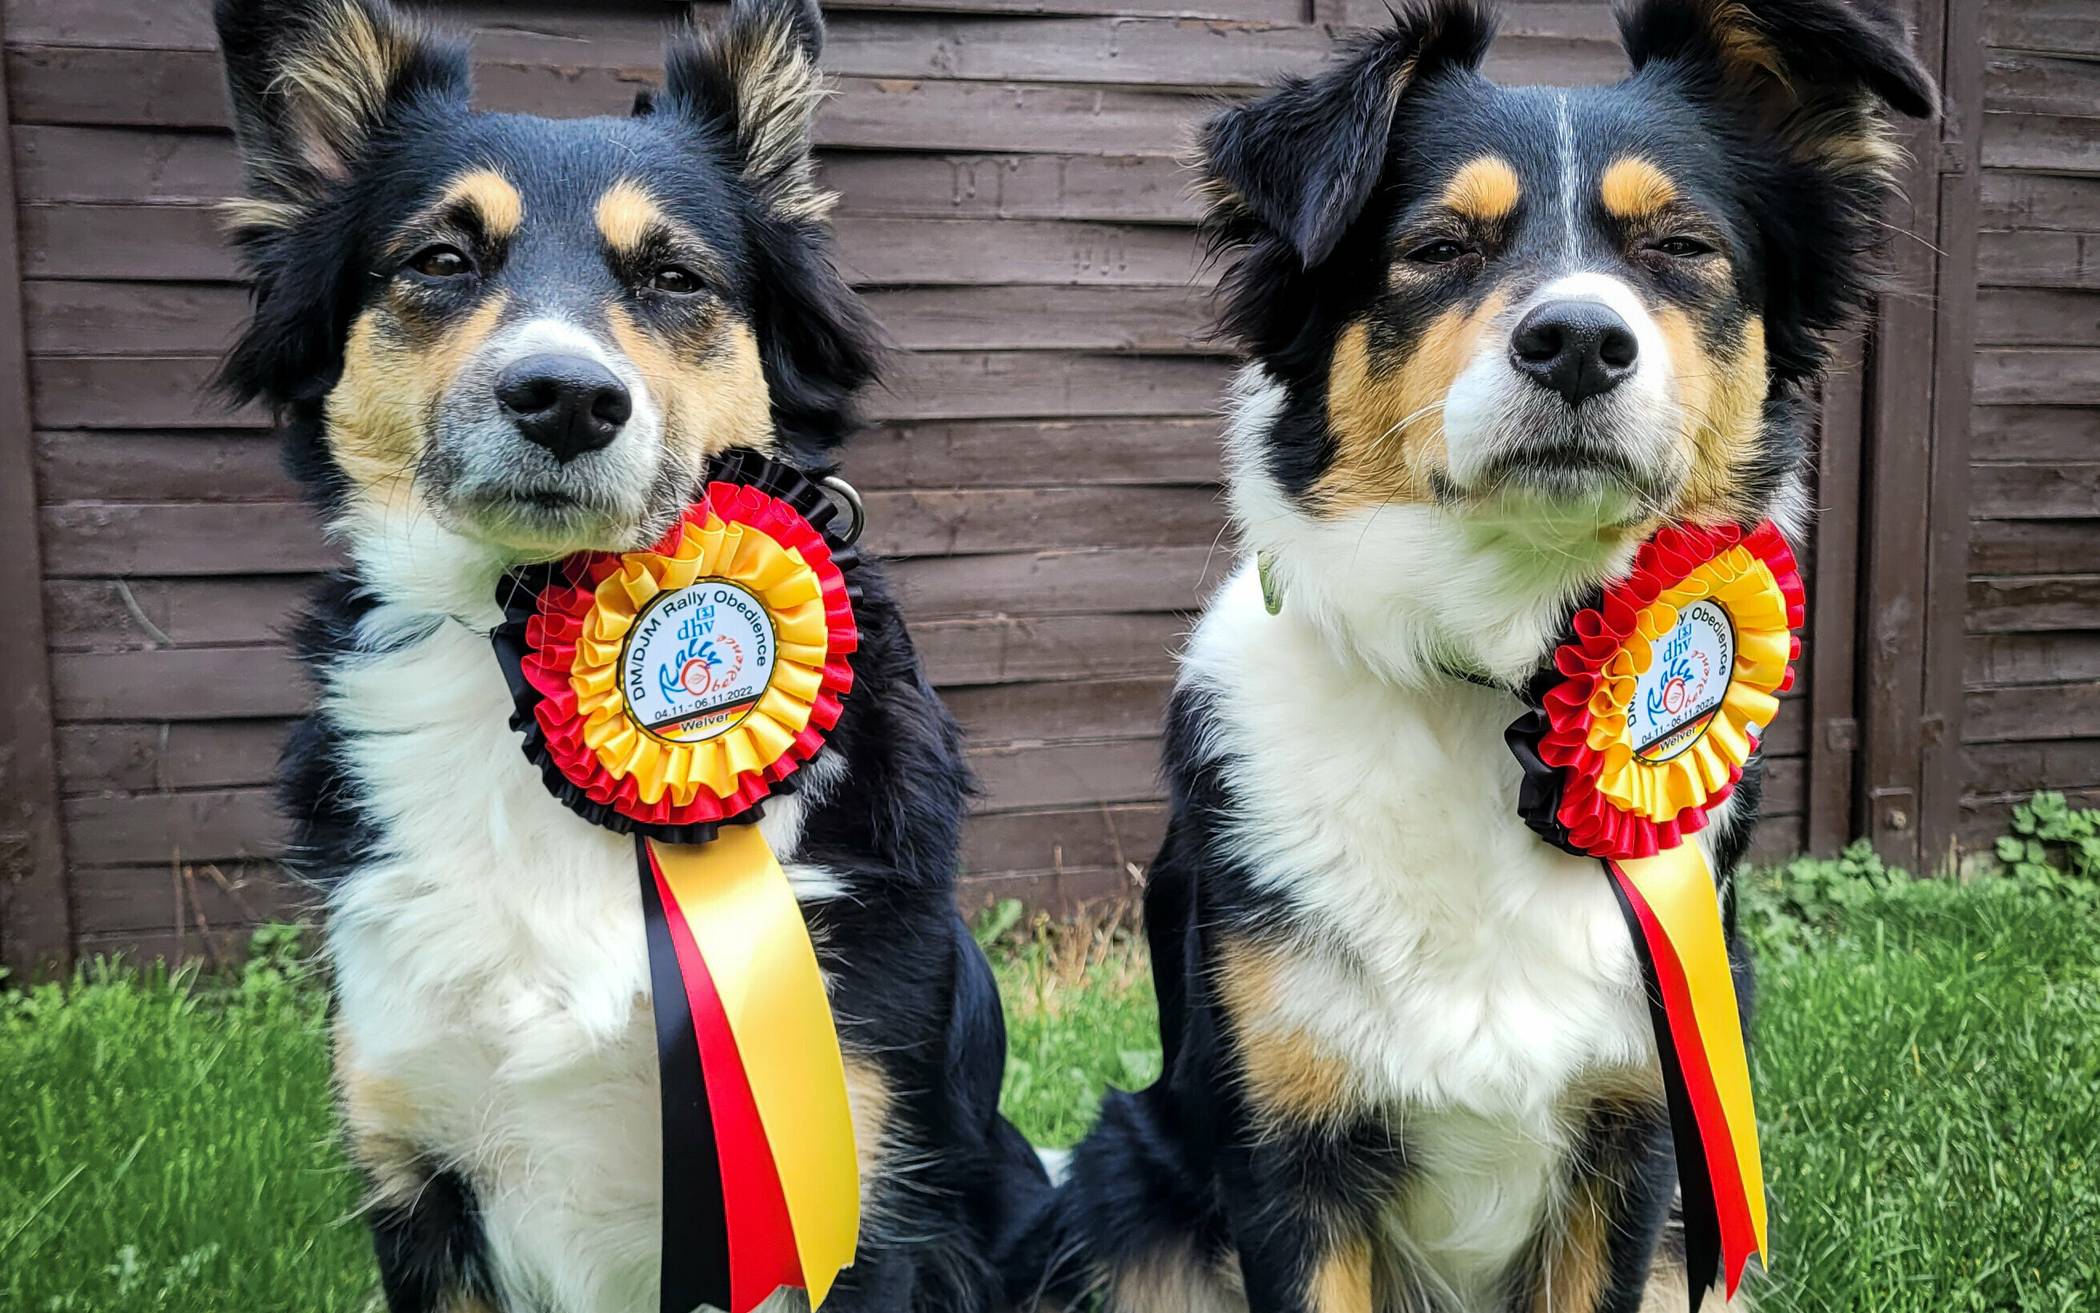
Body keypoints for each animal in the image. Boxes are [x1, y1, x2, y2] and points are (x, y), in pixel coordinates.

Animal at [1007, 2, 1923, 1310]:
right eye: (1437, 246)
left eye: (1683, 246)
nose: (1580, 340)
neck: (1500, 680)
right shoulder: (1288, 1156)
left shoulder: (1634, 1141)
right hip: (1128, 1185)